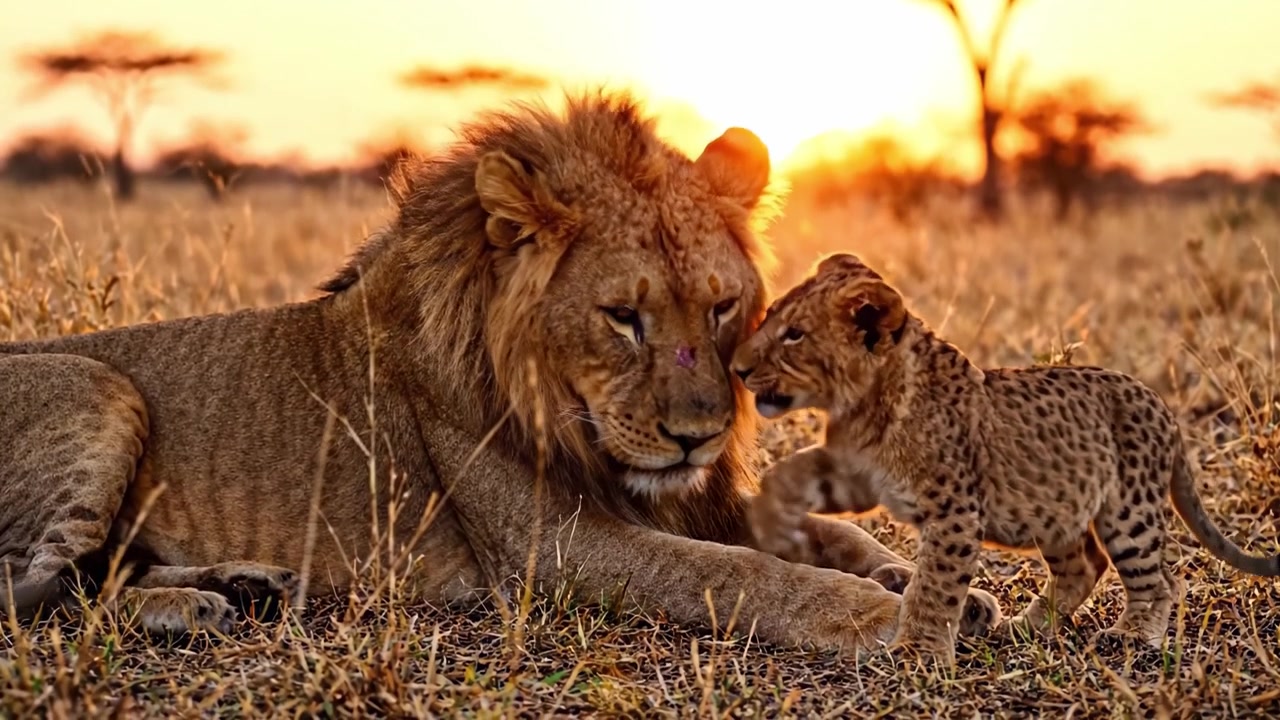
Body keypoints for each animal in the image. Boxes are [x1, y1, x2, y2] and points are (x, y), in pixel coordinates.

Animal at [0, 91, 999, 652]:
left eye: (721, 308)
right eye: (623, 317)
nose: (700, 438)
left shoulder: (688, 496)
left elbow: (827, 537)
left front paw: (933, 585)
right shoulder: (552, 548)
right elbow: (740, 575)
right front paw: (890, 619)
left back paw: (239, 588)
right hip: (100, 387)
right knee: (37, 595)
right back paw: (199, 603)